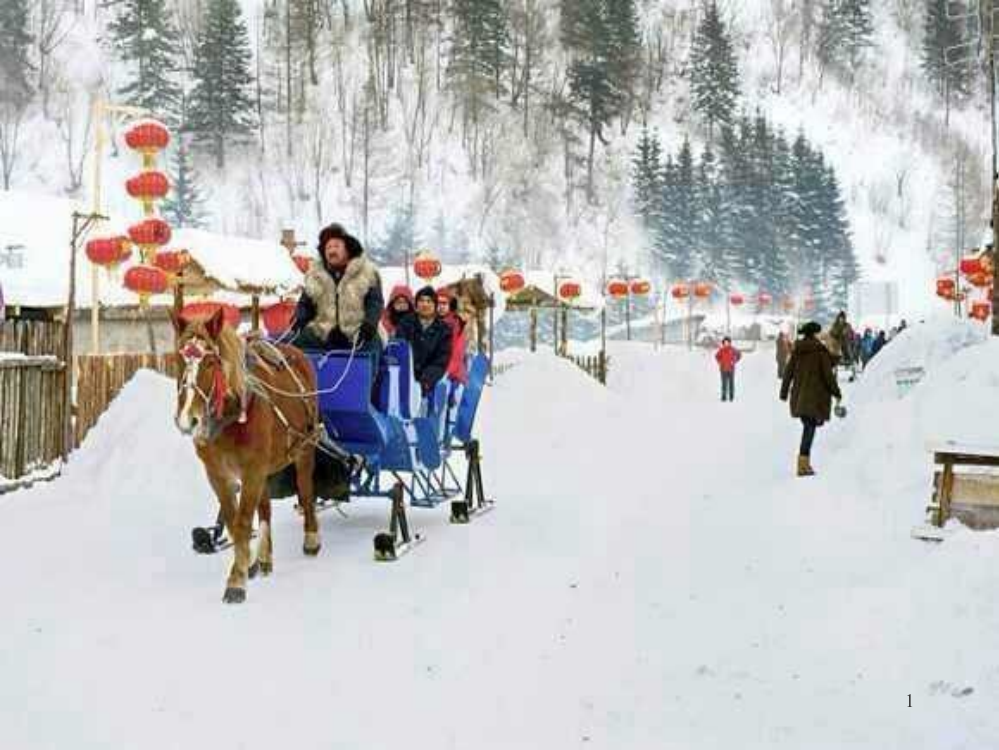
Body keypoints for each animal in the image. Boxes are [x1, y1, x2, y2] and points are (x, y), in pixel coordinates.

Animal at [174, 306, 322, 604]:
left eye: (210, 362)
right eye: (180, 358)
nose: (188, 420)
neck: (230, 417)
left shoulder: (253, 468)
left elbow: (243, 522)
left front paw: (236, 581)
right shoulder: (218, 473)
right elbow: (234, 522)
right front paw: (246, 562)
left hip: (305, 447)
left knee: (306, 489)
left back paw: (311, 538)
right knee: (264, 508)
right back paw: (263, 557)